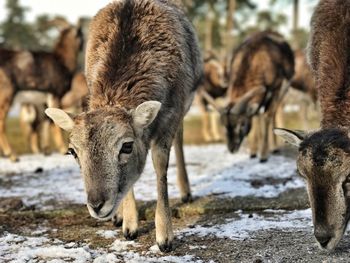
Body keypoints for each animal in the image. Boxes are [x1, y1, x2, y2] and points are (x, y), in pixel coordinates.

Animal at [45, 0, 202, 253]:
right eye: (72, 152)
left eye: (127, 146)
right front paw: (129, 226)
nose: (96, 204)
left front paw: (164, 238)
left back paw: (186, 192)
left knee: (180, 137)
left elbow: (160, 165)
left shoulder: (172, 113)